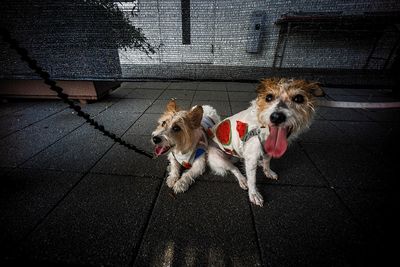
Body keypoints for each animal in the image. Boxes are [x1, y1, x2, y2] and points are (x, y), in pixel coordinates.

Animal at [208, 77, 324, 207]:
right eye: (269, 97)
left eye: (298, 98)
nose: (277, 117)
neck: (263, 130)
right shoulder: (251, 156)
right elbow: (252, 179)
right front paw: (254, 194)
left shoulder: (268, 151)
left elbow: (267, 162)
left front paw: (267, 171)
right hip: (218, 157)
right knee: (234, 169)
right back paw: (242, 180)